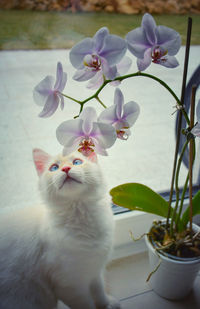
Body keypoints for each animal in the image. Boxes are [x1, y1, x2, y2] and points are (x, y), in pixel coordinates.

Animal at [0, 148, 120, 306]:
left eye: (77, 162)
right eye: (54, 168)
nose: (66, 169)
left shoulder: (94, 272)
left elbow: (99, 292)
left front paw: (107, 304)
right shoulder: (70, 286)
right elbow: (87, 304)